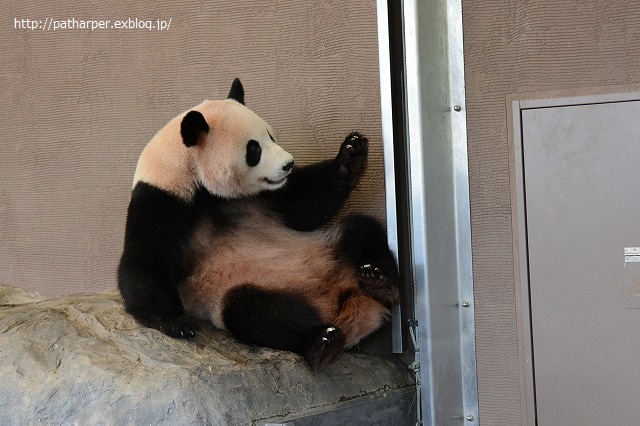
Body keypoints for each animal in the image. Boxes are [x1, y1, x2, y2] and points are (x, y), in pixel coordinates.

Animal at [117, 79, 398, 370]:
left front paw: (352, 154)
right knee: (255, 312)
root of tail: (339, 301)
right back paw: (321, 342)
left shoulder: (261, 197)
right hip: (245, 289)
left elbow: (305, 204)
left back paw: (379, 281)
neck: (195, 177)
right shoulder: (162, 199)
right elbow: (145, 260)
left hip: (329, 249)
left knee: (360, 231)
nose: (288, 164)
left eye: (271, 136)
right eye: (254, 149)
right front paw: (177, 323)